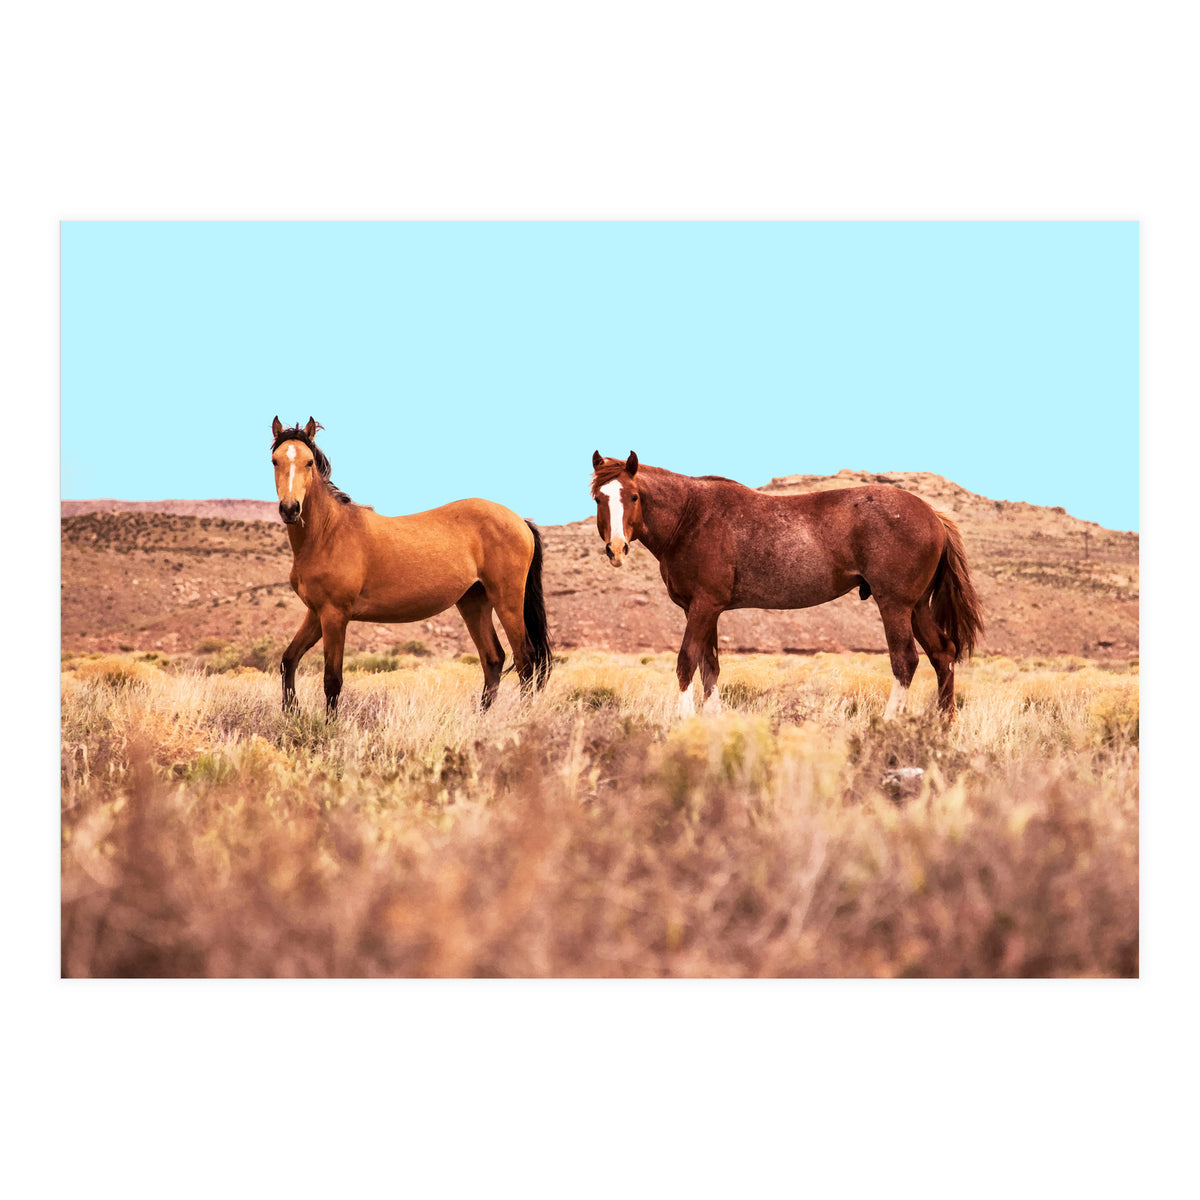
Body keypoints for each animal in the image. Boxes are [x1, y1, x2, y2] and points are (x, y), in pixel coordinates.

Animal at [269, 417, 552, 716]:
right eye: (275, 461)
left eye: (309, 462)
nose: (290, 509)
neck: (328, 533)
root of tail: (520, 520)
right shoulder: (316, 613)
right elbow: (288, 660)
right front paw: (291, 712)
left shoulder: (334, 615)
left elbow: (332, 680)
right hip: (473, 602)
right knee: (493, 658)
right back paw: (481, 719)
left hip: (507, 601)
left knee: (525, 660)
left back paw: (522, 717)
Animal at [590, 451, 983, 719]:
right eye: (598, 498)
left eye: (633, 496)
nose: (616, 549)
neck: (691, 517)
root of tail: (932, 514)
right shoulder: (706, 610)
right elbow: (710, 667)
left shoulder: (703, 606)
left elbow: (687, 661)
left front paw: (685, 721)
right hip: (916, 607)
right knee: (943, 654)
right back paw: (942, 725)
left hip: (895, 606)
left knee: (906, 661)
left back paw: (889, 723)